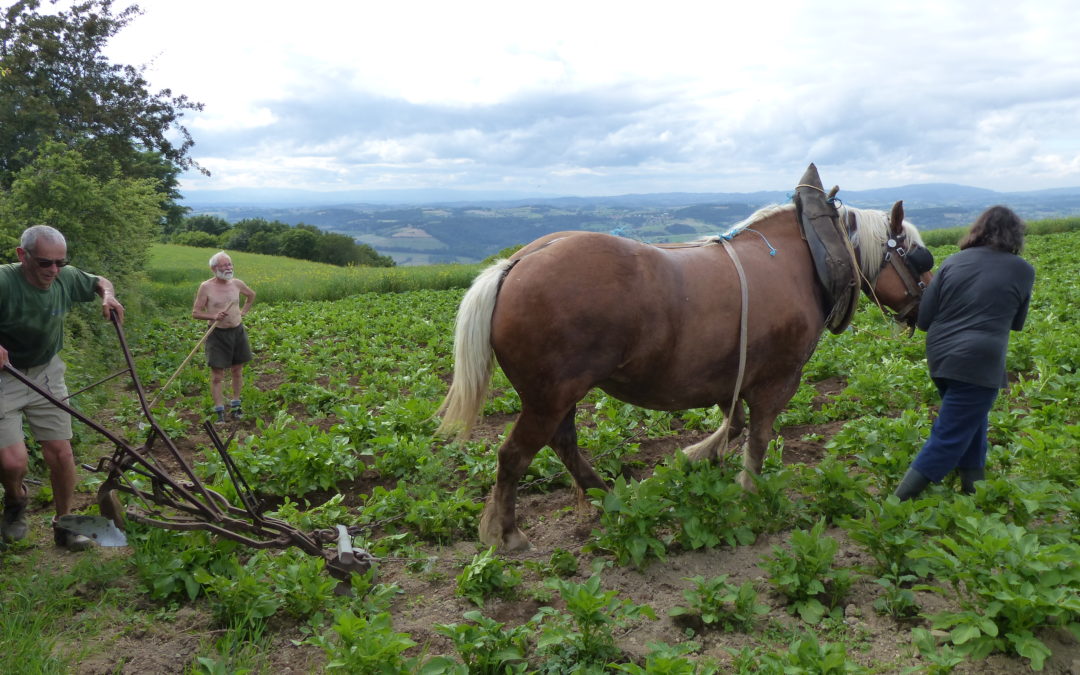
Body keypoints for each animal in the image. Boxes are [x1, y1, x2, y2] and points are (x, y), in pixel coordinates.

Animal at [434, 181, 933, 550]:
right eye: (917, 256)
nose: (926, 306)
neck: (809, 258)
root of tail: (516, 262)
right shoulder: (779, 378)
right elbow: (758, 437)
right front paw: (749, 496)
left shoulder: (732, 375)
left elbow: (734, 425)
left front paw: (693, 458)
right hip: (549, 396)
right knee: (514, 455)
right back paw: (509, 533)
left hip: (558, 395)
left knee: (563, 444)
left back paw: (609, 496)